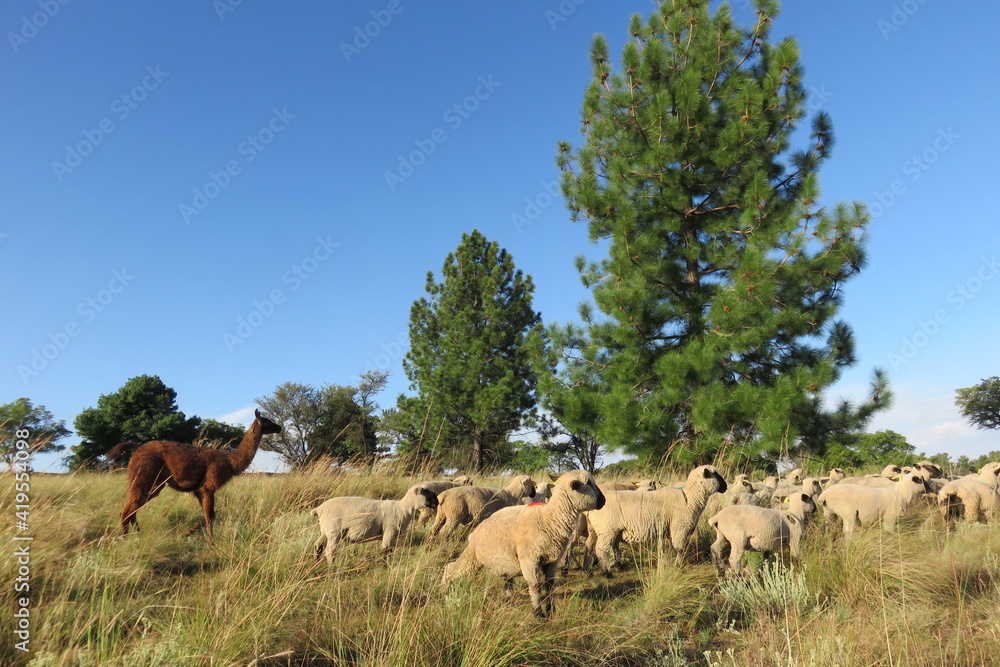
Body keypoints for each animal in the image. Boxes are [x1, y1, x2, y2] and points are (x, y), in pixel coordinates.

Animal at [442, 472, 604, 620]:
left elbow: (549, 586)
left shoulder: (552, 561)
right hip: (472, 556)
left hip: (501, 561)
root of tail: (475, 532)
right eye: (589, 483)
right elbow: (535, 586)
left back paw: (508, 598)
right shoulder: (529, 560)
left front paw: (550, 611)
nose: (604, 501)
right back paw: (444, 590)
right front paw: (538, 615)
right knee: (451, 568)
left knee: (507, 579)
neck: (548, 518)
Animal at [584, 464, 728, 576]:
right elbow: (680, 549)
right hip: (607, 530)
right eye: (716, 475)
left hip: (594, 530)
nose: (726, 487)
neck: (690, 497)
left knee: (589, 545)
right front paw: (678, 565)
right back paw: (607, 573)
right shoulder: (679, 528)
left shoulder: (671, 530)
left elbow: (673, 548)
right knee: (601, 550)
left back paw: (588, 569)